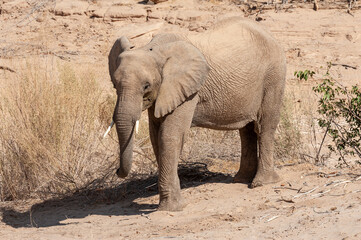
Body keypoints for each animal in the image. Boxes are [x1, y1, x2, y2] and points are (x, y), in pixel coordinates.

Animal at [107, 17, 284, 212]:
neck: (154, 49)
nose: (116, 171)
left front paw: (172, 208)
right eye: (114, 85)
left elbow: (169, 136)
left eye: (146, 86)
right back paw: (241, 180)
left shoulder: (187, 90)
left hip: (273, 75)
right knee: (246, 131)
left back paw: (261, 183)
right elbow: (155, 137)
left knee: (265, 126)